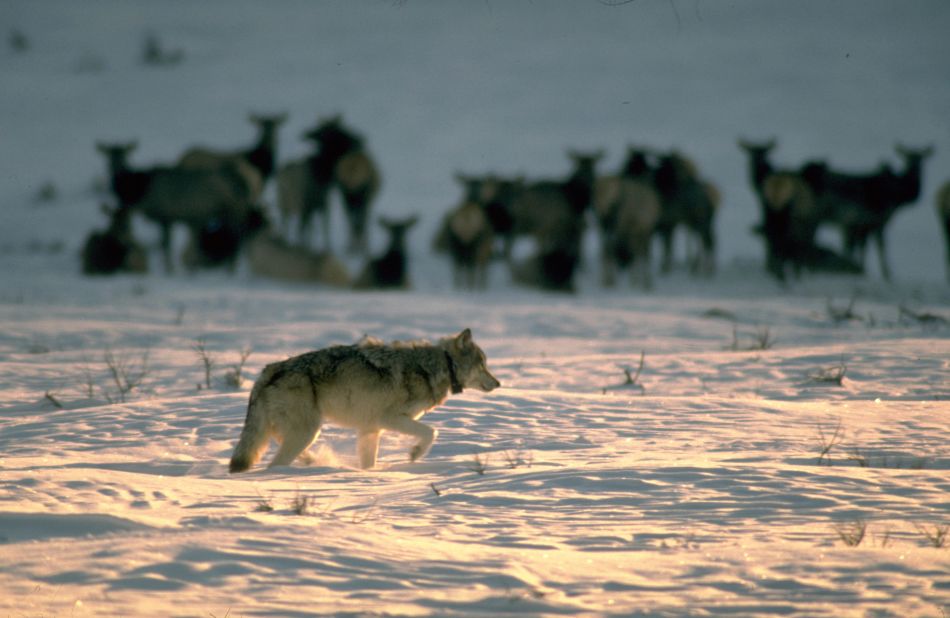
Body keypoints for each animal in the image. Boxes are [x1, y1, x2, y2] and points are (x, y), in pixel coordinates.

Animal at [231, 328, 502, 472]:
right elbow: (431, 432)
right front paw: (415, 454)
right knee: (274, 464)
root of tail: (268, 371)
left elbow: (369, 463)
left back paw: (313, 461)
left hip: (301, 433)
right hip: (307, 432)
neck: (436, 366)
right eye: (482, 365)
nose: (499, 383)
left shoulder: (370, 430)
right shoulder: (390, 419)